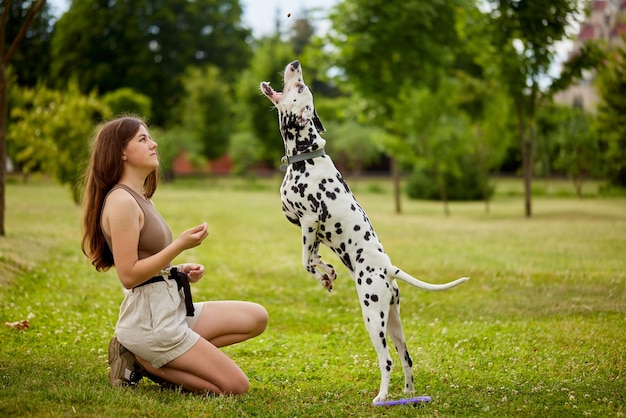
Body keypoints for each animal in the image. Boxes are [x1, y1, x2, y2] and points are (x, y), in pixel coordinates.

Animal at [258, 60, 468, 404]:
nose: (295, 64)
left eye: (299, 87)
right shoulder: (315, 232)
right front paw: (328, 273)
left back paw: (382, 397)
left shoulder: (308, 221)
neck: (306, 156)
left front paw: (323, 274)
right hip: (394, 322)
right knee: (407, 358)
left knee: (387, 360)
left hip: (372, 317)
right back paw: (408, 394)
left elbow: (305, 260)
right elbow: (315, 258)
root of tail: (388, 269)